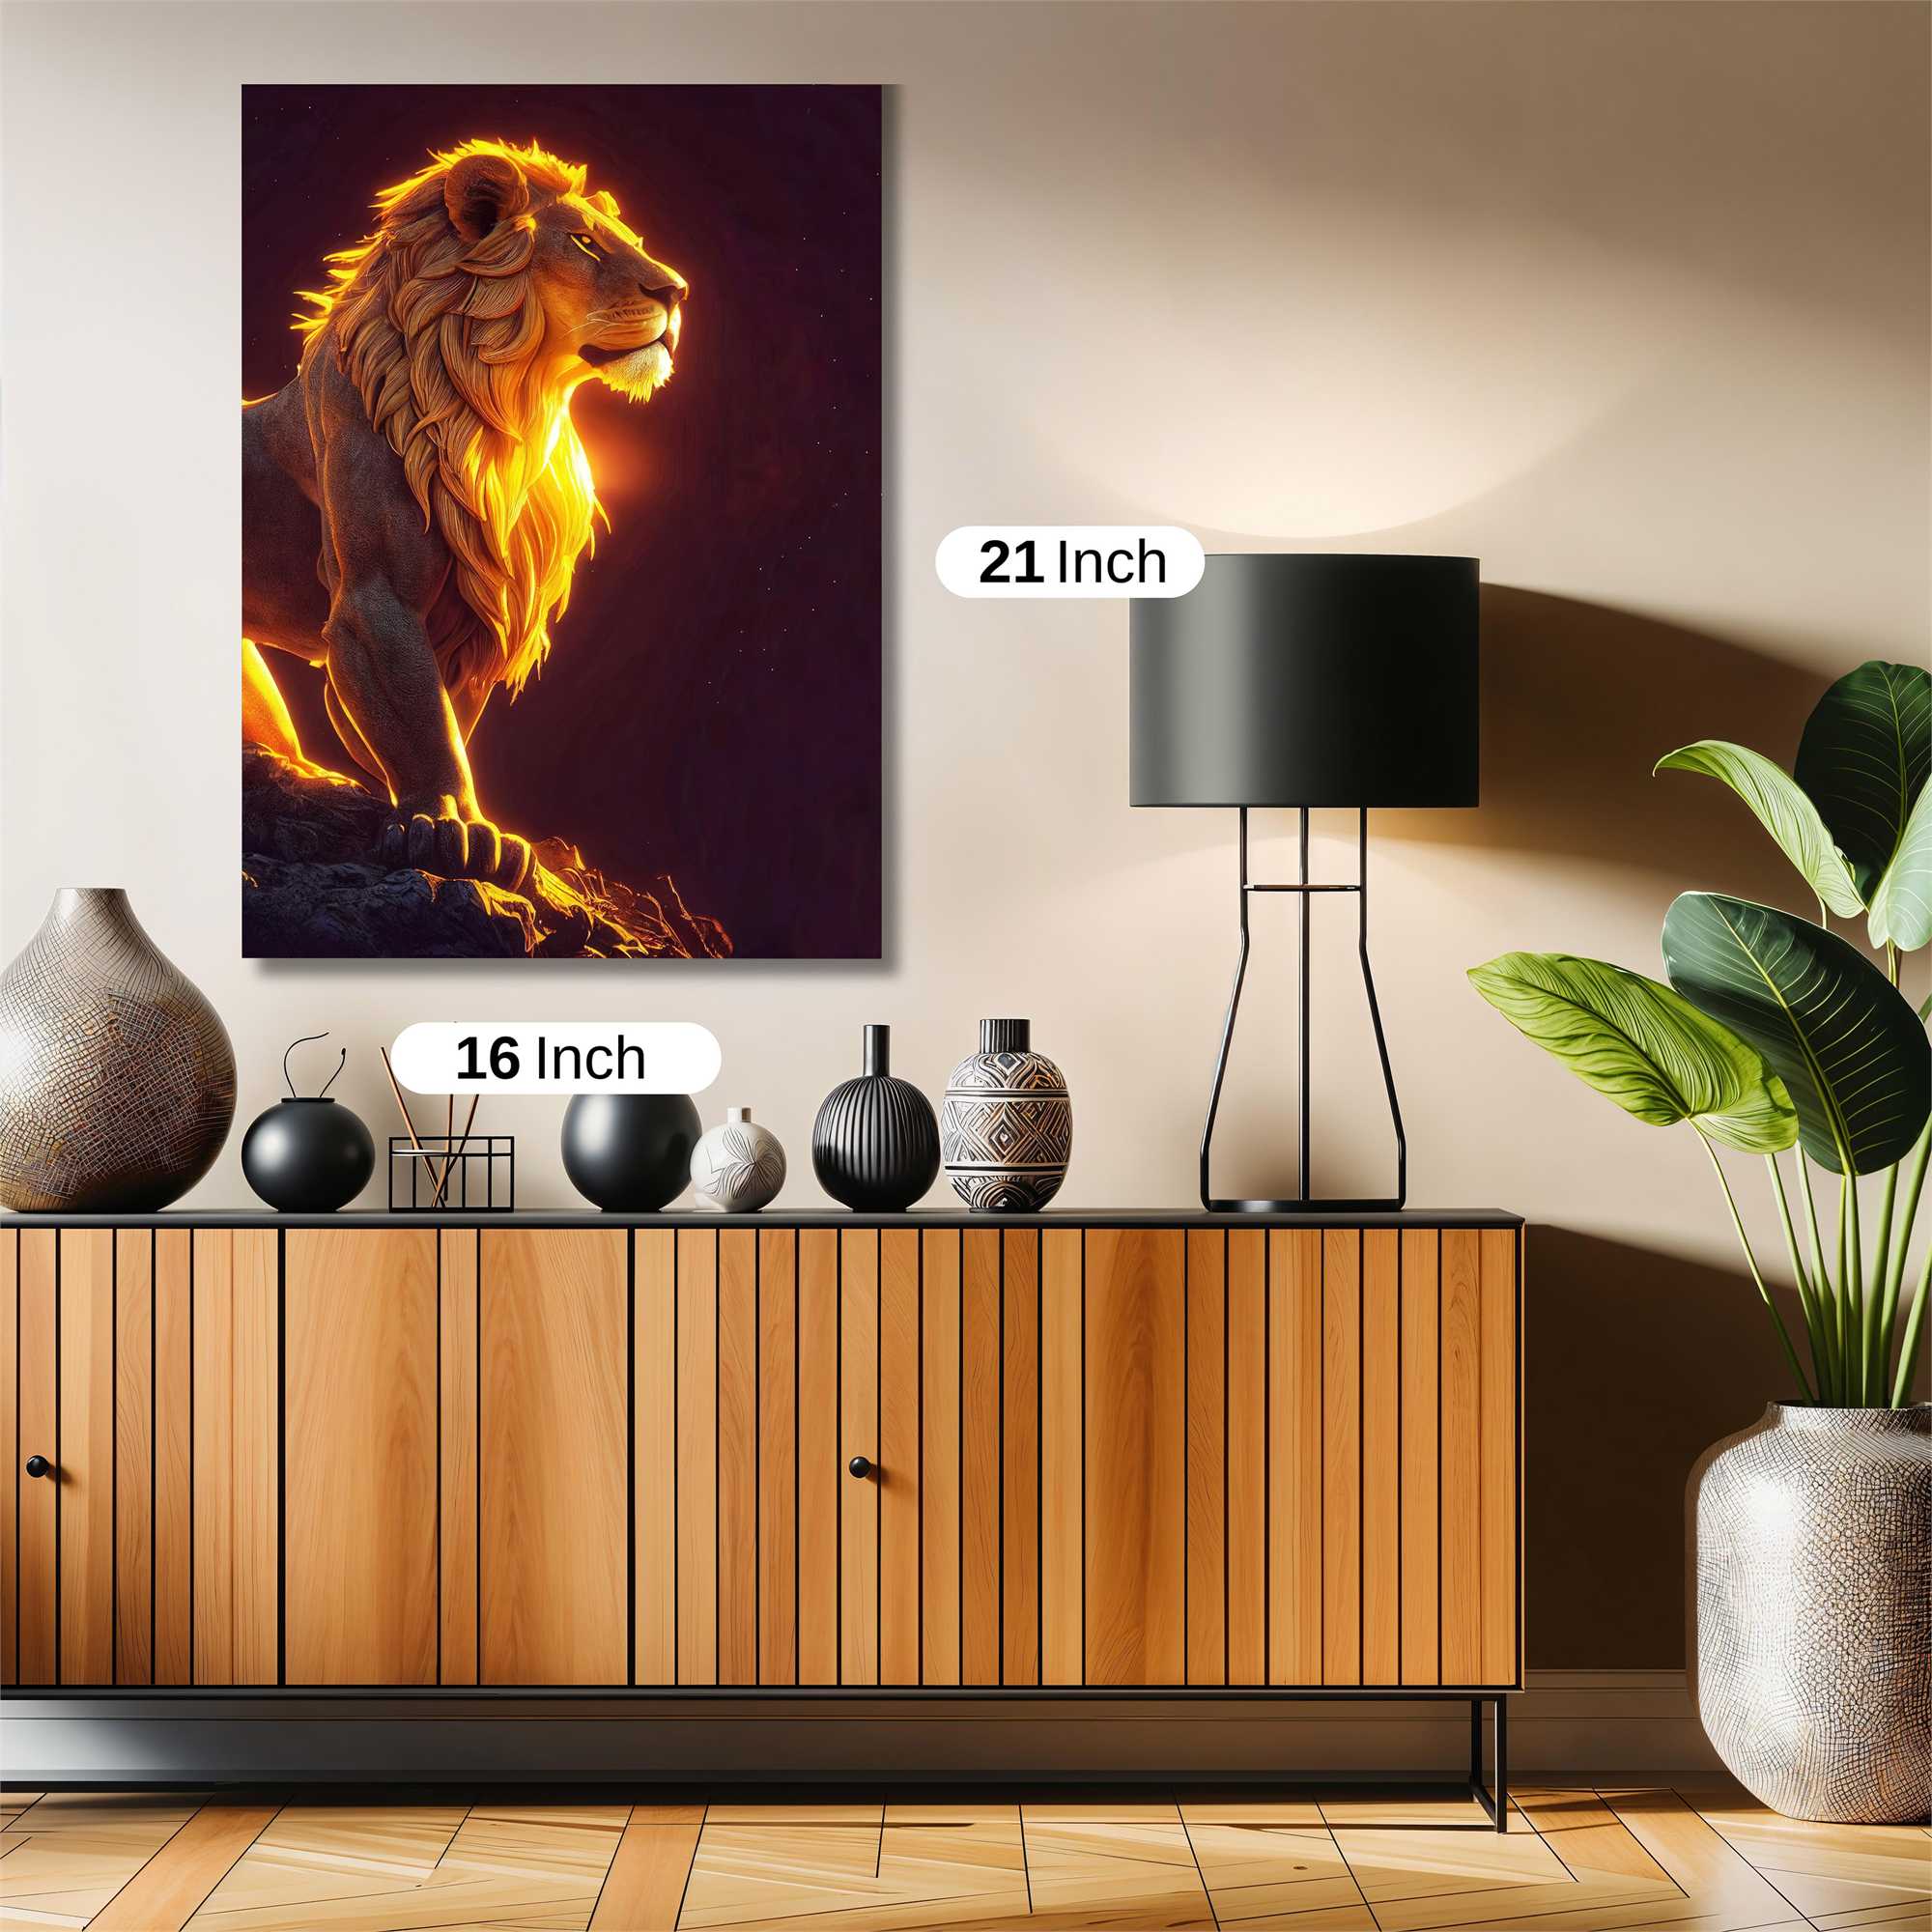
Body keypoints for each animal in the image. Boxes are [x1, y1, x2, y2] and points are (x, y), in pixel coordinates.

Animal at [242, 139, 687, 891]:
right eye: (585, 243)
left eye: (630, 240)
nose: (678, 291)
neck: (507, 417)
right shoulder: (376, 599)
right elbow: (423, 720)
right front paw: (453, 828)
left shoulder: (476, 620)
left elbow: (446, 715)